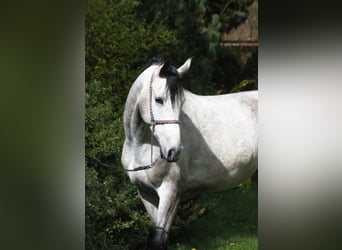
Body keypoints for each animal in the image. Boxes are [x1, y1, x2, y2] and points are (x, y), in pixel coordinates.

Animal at [121, 57, 258, 249]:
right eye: (158, 99)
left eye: (181, 103)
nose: (174, 151)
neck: (141, 144)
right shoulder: (145, 193)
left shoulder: (171, 191)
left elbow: (158, 239)